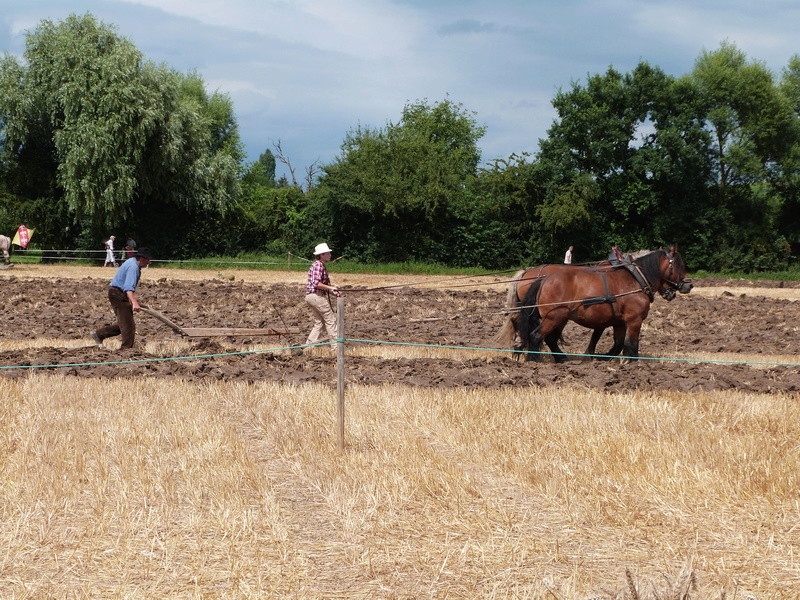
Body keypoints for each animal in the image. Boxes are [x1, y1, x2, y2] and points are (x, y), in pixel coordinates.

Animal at [500, 247, 692, 364]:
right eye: (678, 264)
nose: (688, 285)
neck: (635, 278)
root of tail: (543, 279)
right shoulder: (634, 320)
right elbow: (631, 343)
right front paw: (632, 362)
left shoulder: (618, 322)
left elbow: (618, 344)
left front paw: (600, 358)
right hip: (555, 316)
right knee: (536, 335)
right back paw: (534, 360)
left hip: (558, 317)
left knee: (545, 337)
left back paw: (559, 358)